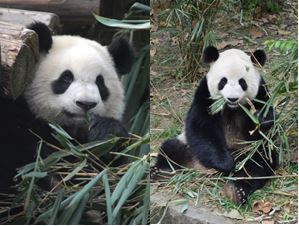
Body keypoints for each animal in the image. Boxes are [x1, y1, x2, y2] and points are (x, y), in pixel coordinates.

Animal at [0, 22, 135, 193]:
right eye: (66, 78)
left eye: (100, 82)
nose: (86, 103)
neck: (68, 130)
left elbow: (112, 173)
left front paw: (106, 134)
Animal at [152, 46, 278, 205]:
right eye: (223, 81)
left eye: (242, 82)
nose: (232, 98)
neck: (231, 108)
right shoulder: (205, 94)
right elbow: (201, 127)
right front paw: (225, 163)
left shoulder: (261, 94)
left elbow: (260, 129)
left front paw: (263, 118)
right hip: (187, 145)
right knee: (171, 148)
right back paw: (161, 172)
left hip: (249, 152)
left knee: (258, 164)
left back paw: (236, 191)